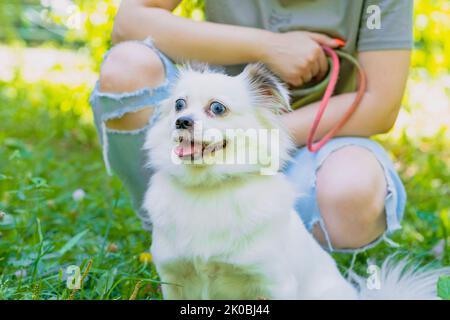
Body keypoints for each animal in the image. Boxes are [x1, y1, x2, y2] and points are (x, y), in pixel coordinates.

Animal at [143, 63, 446, 300]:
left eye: (217, 107)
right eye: (179, 105)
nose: (181, 121)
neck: (208, 188)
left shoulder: (274, 283)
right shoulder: (173, 277)